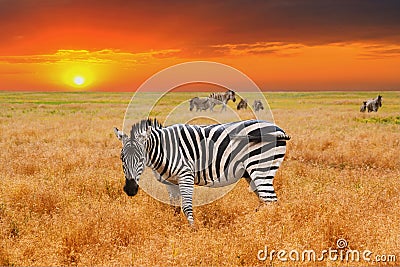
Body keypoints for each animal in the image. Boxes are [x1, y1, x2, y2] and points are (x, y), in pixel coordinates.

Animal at [114, 118, 290, 225]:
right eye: (121, 157)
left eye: (141, 158)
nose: (130, 189)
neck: (165, 150)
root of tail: (278, 128)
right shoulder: (170, 182)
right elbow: (175, 208)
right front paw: (175, 229)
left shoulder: (185, 176)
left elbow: (186, 207)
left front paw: (193, 231)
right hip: (251, 173)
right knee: (265, 201)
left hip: (262, 168)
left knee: (271, 201)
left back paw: (267, 228)